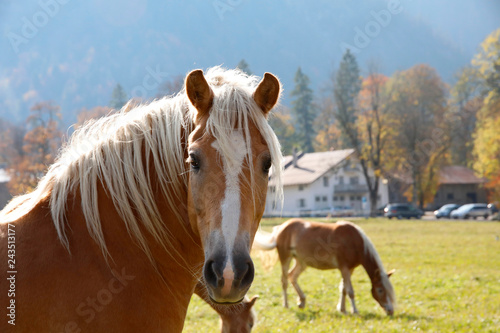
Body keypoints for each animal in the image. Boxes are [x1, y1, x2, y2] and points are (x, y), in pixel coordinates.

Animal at [254, 219, 394, 316]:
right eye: (380, 290)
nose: (390, 311)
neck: (354, 242)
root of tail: (281, 227)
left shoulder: (349, 269)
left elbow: (343, 289)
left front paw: (342, 309)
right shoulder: (344, 268)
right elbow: (350, 291)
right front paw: (354, 310)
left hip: (301, 262)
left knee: (292, 276)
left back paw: (302, 301)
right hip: (285, 258)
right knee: (284, 280)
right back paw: (286, 304)